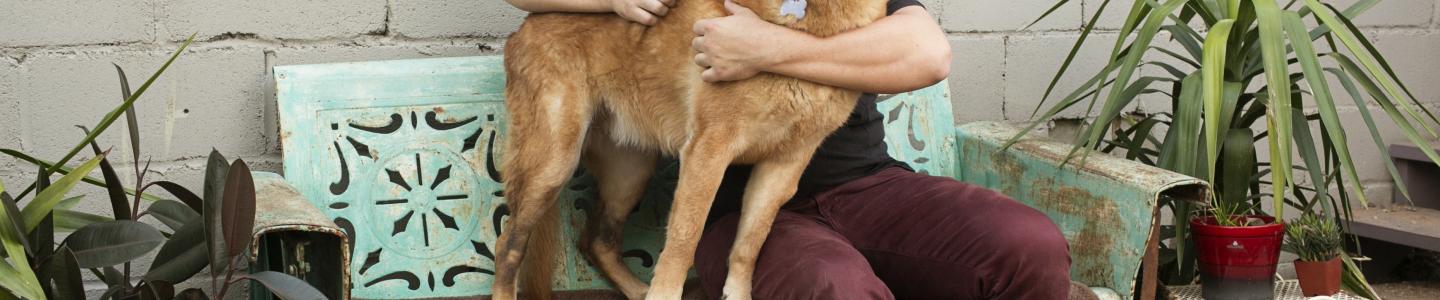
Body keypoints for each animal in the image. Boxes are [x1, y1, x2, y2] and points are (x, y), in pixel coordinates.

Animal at [498, 1, 887, 298]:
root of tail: (522, 29)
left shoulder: (784, 165)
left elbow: (749, 245)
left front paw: (737, 293)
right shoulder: (708, 151)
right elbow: (683, 243)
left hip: (631, 172)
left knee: (597, 242)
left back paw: (636, 289)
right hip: (553, 164)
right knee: (509, 246)